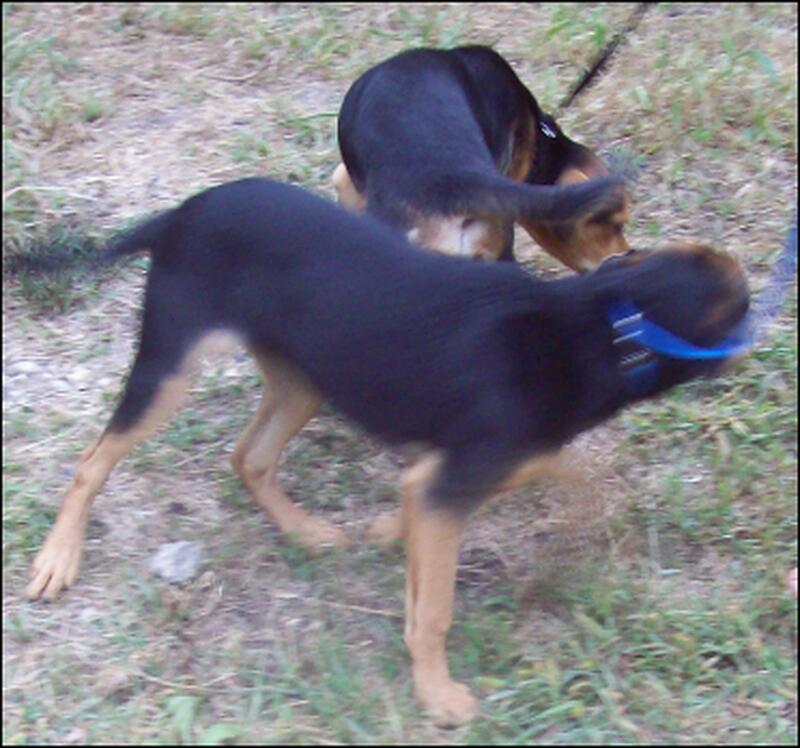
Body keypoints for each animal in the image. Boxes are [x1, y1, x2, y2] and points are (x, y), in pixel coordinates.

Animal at [27, 178, 749, 726]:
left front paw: (386, 534)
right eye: (740, 305)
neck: (605, 324)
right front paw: (438, 695)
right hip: (173, 364)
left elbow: (554, 471)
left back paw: (306, 531)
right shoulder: (451, 481)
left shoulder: (451, 474)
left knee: (247, 458)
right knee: (92, 462)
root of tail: (182, 213)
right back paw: (58, 559)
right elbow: (435, 610)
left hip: (305, 378)